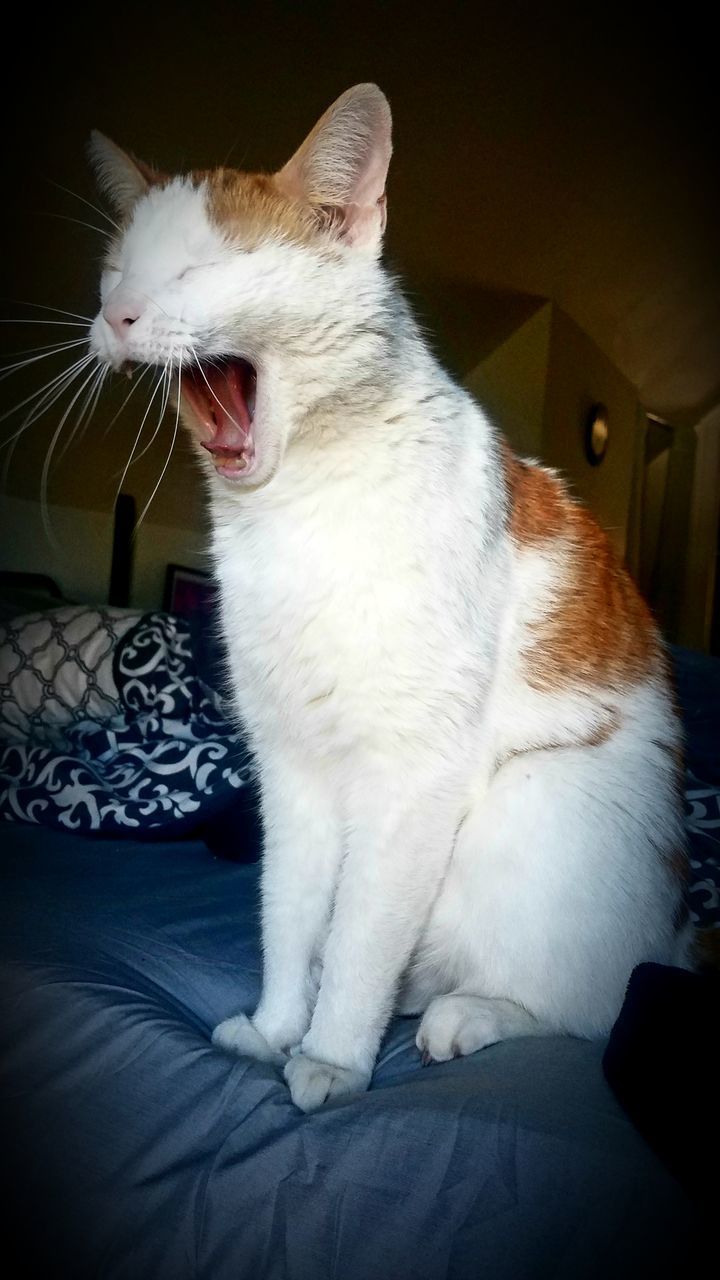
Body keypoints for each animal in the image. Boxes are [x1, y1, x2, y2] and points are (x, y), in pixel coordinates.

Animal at [87, 85, 686, 1116]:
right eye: (116, 271)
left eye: (207, 265)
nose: (118, 315)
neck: (298, 514)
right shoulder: (290, 772)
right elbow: (292, 918)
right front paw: (278, 1028)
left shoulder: (409, 778)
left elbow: (362, 933)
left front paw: (331, 1057)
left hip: (534, 809)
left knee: (588, 1006)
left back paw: (463, 1016)